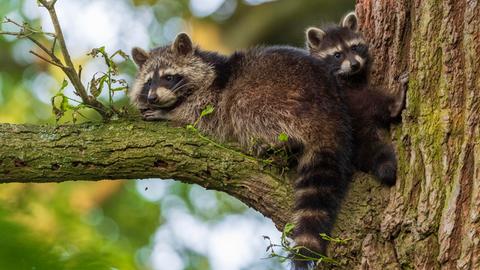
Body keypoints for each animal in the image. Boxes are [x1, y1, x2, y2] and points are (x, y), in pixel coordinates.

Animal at [306, 12, 406, 186]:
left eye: (354, 47)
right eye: (337, 55)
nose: (354, 64)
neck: (348, 76)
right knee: (370, 99)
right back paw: (394, 104)